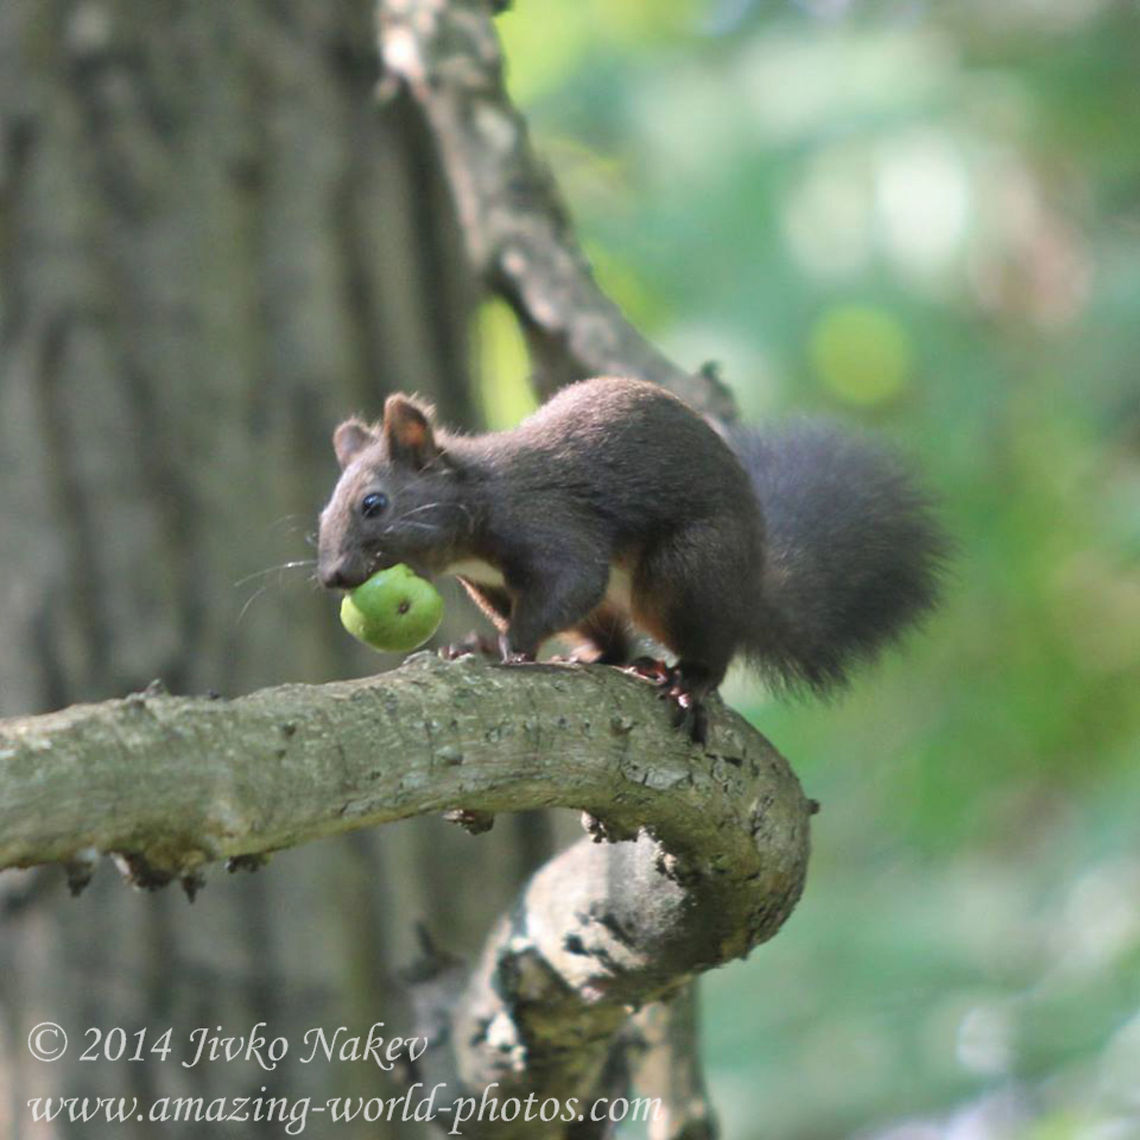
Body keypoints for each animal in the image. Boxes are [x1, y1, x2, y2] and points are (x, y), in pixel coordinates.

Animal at [318, 377, 946, 740]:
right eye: (322, 516)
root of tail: (750, 590)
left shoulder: (550, 527)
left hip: (686, 572)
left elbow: (570, 583)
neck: (477, 501)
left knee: (711, 652)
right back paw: (601, 660)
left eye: (374, 504)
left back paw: (687, 680)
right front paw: (475, 645)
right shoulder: (490, 583)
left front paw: (504, 648)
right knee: (612, 641)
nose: (332, 577)